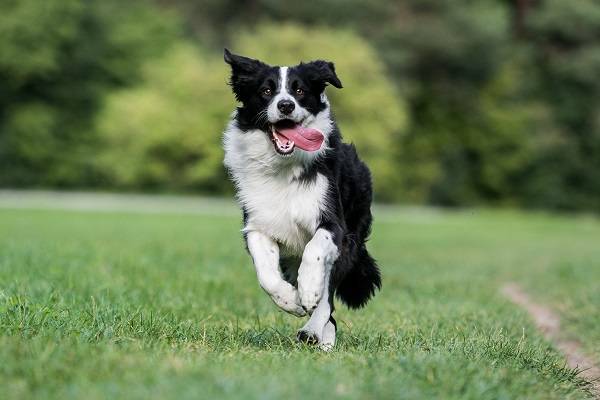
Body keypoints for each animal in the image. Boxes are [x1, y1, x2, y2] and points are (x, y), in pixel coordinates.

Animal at [223, 49, 382, 350]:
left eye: (299, 90)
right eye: (266, 91)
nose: (285, 105)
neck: (284, 168)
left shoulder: (334, 225)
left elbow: (315, 251)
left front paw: (307, 291)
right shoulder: (258, 225)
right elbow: (266, 273)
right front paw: (290, 300)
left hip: (351, 240)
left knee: (328, 298)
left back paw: (314, 331)